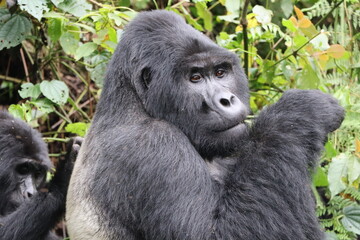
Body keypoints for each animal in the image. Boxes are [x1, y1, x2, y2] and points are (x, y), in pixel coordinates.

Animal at [66, 10, 344, 239]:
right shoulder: (150, 143)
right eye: (195, 78)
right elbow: (217, 233)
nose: (226, 100)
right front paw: (302, 111)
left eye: (220, 72)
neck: (130, 101)